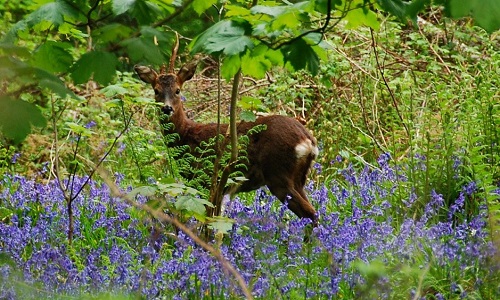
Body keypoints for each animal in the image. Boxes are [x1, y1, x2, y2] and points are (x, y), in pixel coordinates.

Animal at [135, 45, 318, 225]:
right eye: (156, 90)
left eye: (177, 90)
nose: (167, 108)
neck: (187, 135)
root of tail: (308, 141)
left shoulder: (207, 180)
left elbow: (209, 220)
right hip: (299, 178)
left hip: (278, 173)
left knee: (310, 213)